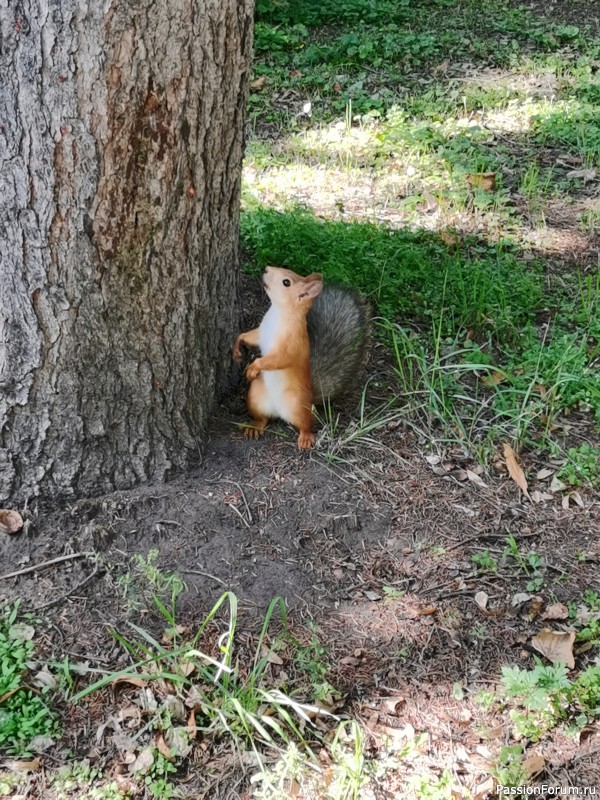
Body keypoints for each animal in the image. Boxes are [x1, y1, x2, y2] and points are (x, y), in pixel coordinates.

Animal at [232, 268, 368, 450]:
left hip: (297, 405)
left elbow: (278, 359)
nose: (266, 269)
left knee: (307, 422)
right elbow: (249, 336)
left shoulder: (291, 344)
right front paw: (237, 347)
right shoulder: (261, 332)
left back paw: (305, 438)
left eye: (286, 282)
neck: (278, 313)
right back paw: (254, 426)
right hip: (255, 396)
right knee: (263, 418)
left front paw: (254, 367)